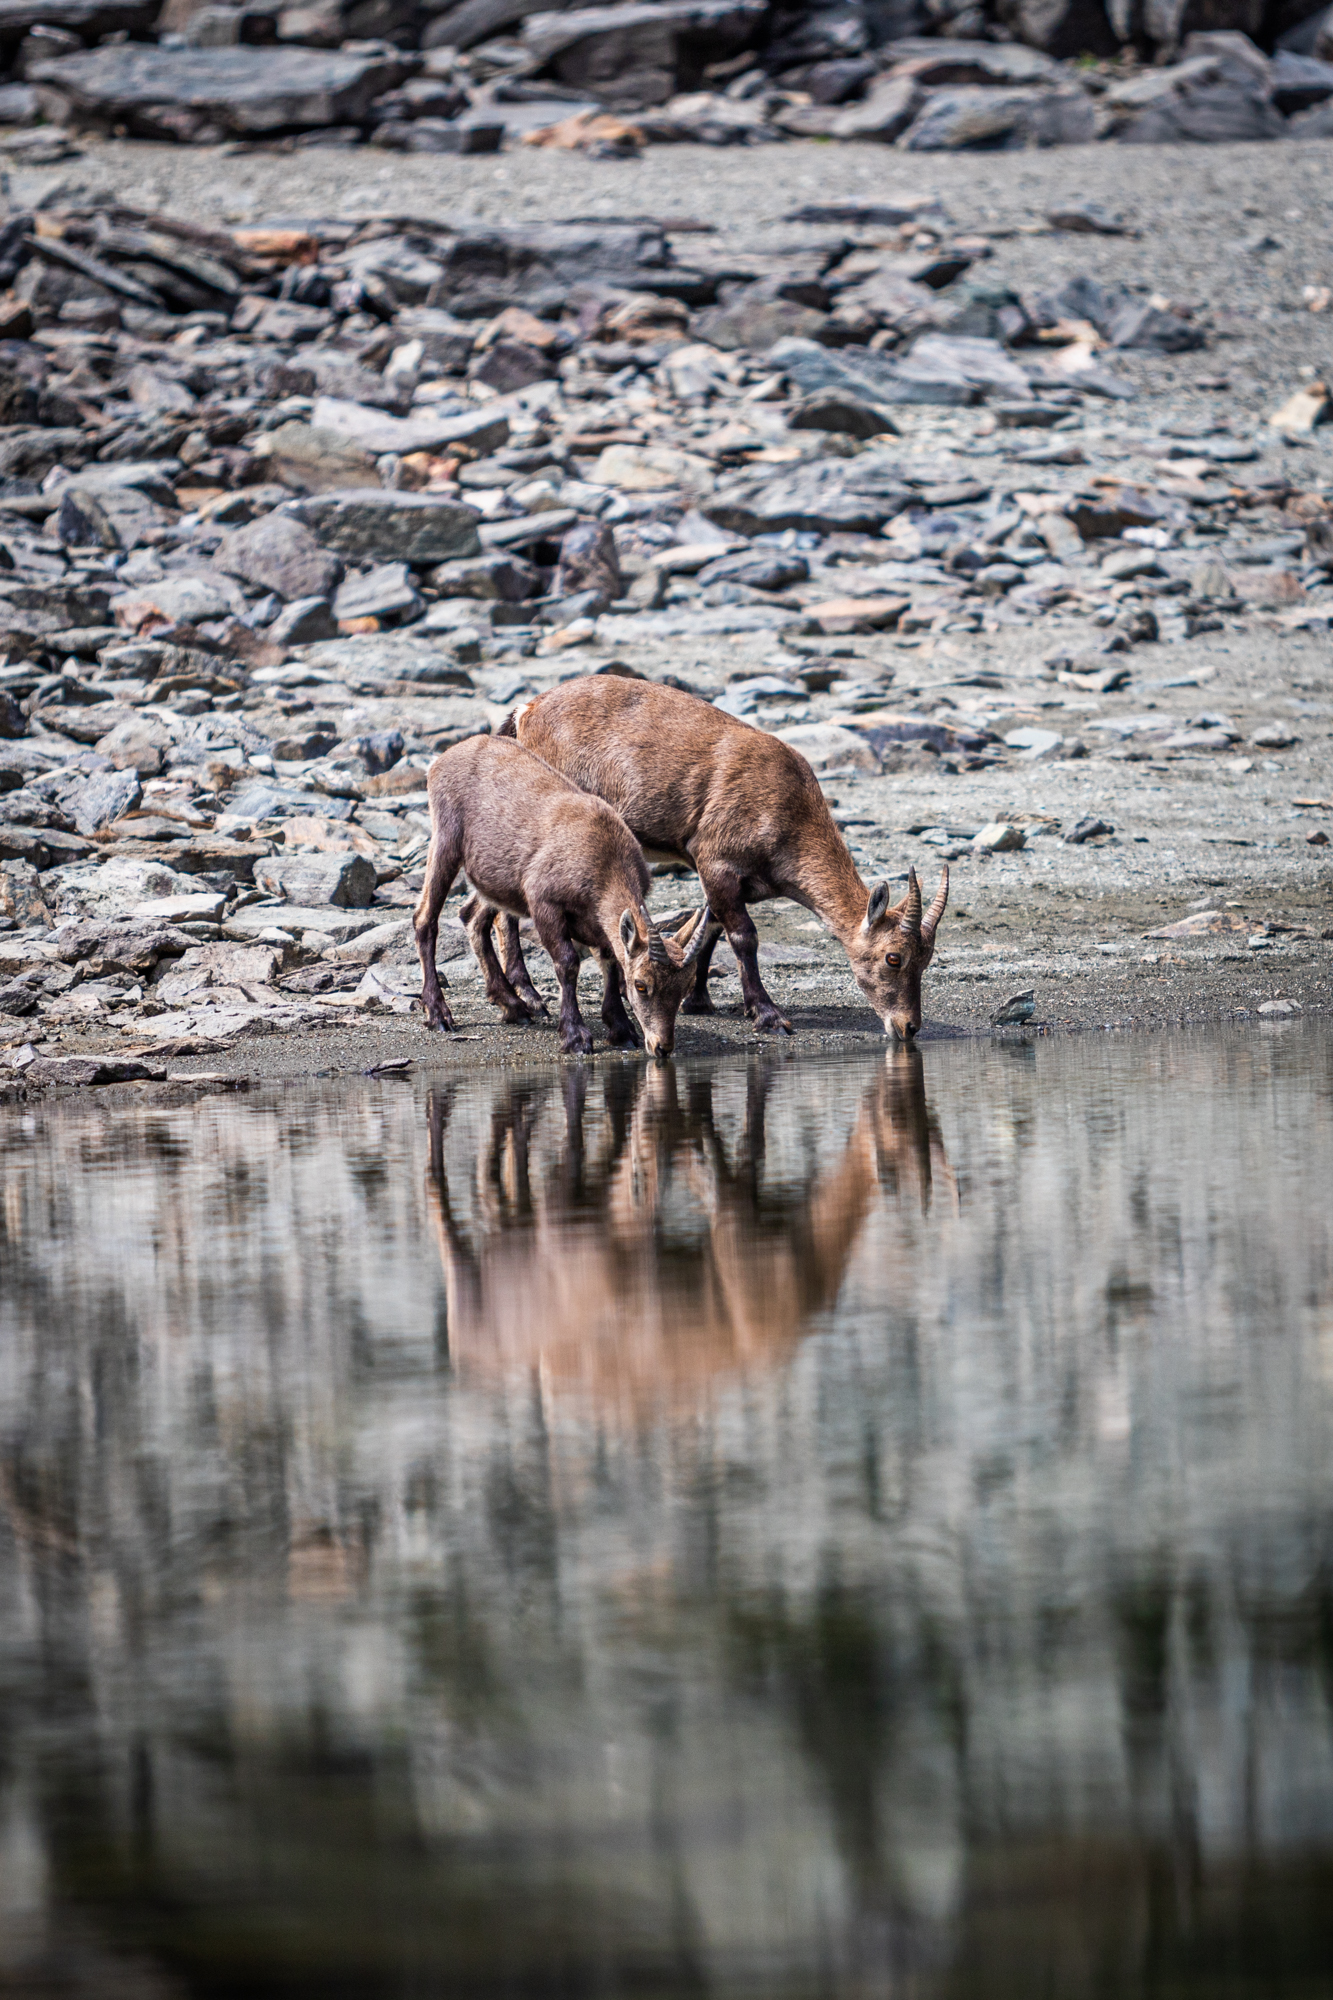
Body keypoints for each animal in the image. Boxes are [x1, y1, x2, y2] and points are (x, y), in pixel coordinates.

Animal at [413, 733, 711, 1058]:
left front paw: (621, 1029)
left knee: (472, 917)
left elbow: (610, 962)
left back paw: (513, 1005)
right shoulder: (544, 903)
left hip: (493, 879)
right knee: (425, 919)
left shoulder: (598, 923)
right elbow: (568, 963)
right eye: (641, 985)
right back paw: (438, 1013)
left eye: (685, 986)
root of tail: (442, 760)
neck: (605, 859)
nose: (662, 1047)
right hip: (446, 841)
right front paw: (575, 1036)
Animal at [499, 676, 948, 1039]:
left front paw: (697, 1000)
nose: (908, 1027)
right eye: (893, 958)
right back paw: (525, 997)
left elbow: (710, 927)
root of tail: (527, 711)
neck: (787, 809)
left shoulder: (727, 880)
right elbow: (743, 936)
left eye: (927, 959)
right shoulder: (715, 861)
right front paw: (768, 1014)